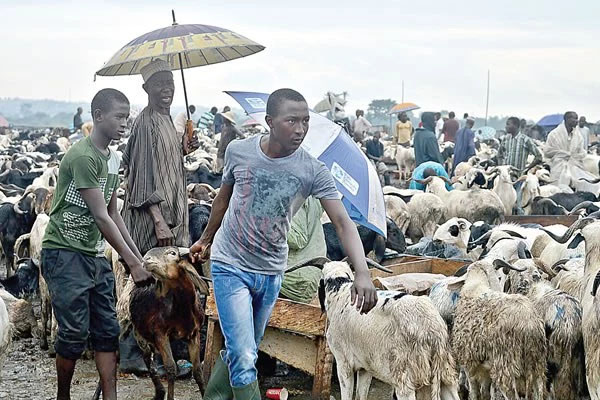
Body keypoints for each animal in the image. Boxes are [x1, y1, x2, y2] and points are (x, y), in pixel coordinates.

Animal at [117, 247, 209, 400]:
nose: (146, 260)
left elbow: (197, 371)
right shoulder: (160, 334)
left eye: (172, 253)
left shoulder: (193, 334)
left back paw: (159, 391)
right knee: (144, 358)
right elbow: (171, 369)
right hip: (135, 330)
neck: (182, 310)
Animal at [448, 258, 548, 398]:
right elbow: (485, 392)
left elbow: (474, 392)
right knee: (539, 390)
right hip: (537, 363)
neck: (476, 284)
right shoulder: (485, 367)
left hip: (506, 365)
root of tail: (528, 325)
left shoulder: (468, 361)